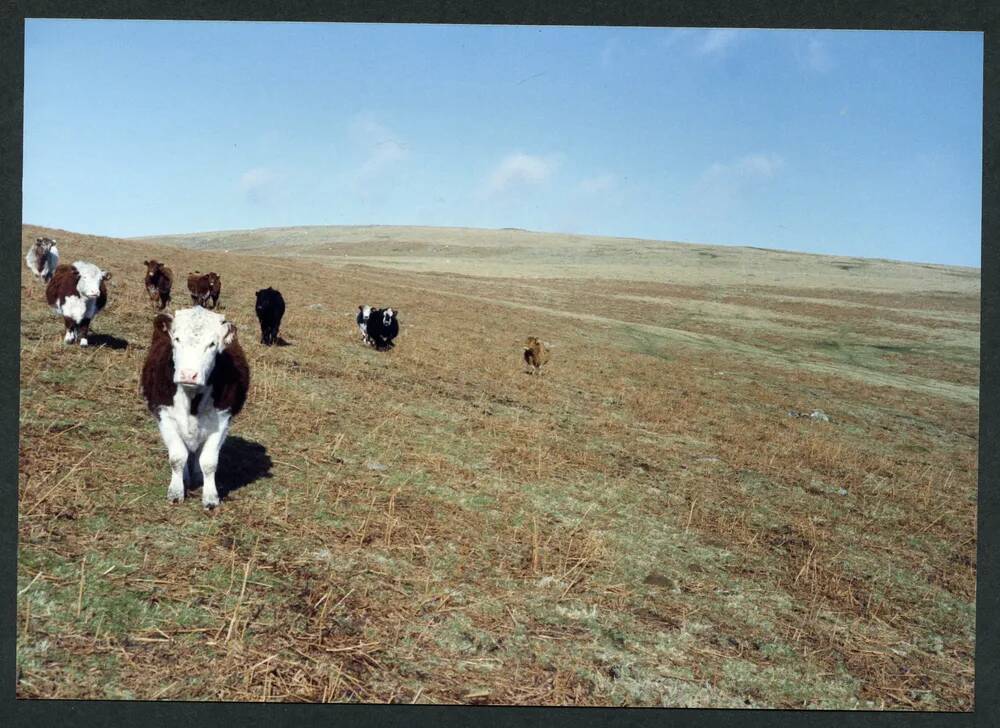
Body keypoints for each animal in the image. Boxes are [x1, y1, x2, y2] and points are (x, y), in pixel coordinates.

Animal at [140, 310, 250, 510]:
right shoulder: (164, 416)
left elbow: (209, 462)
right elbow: (177, 457)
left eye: (212, 344)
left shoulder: (222, 420)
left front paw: (210, 498)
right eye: (177, 339)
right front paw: (176, 492)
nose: (188, 374)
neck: (191, 400)